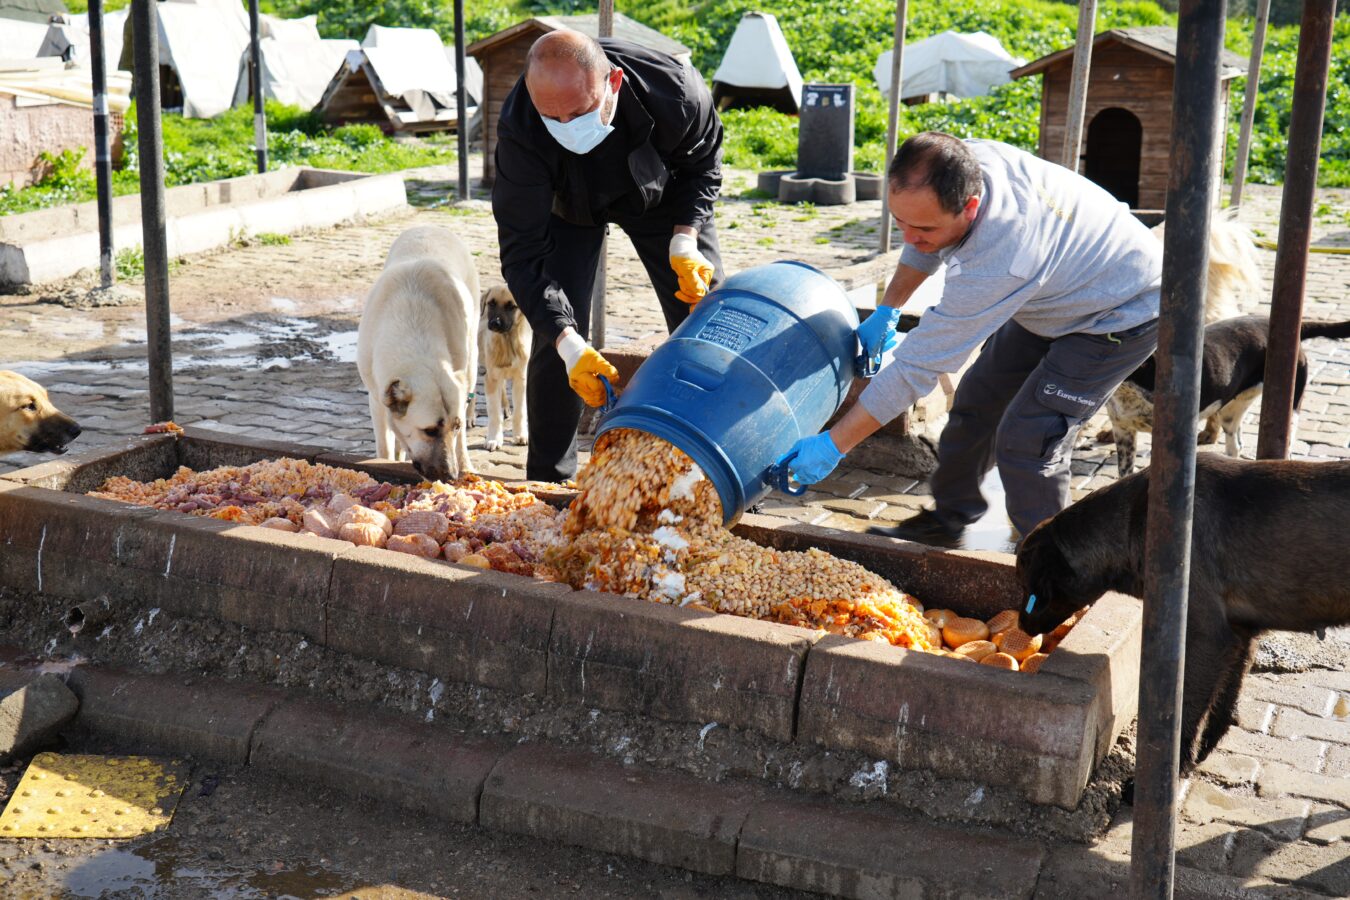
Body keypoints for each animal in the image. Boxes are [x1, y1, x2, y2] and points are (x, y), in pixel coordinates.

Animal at [359, 225, 480, 483]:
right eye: (429, 431)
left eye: (455, 426)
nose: (451, 476)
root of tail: (431, 226)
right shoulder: (376, 398)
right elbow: (385, 445)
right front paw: (389, 460)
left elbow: (461, 438)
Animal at [477, 283, 529, 450]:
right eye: (491, 303)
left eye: (511, 306)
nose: (495, 324)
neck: (507, 341)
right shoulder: (491, 379)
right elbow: (494, 413)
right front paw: (493, 439)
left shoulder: (521, 379)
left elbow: (520, 411)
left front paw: (520, 435)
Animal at [1020, 453, 1350, 777]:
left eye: (1029, 586)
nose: (1022, 626)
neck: (1136, 520)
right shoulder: (1240, 636)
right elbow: (1224, 704)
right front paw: (1204, 751)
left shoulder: (1208, 638)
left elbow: (1188, 712)